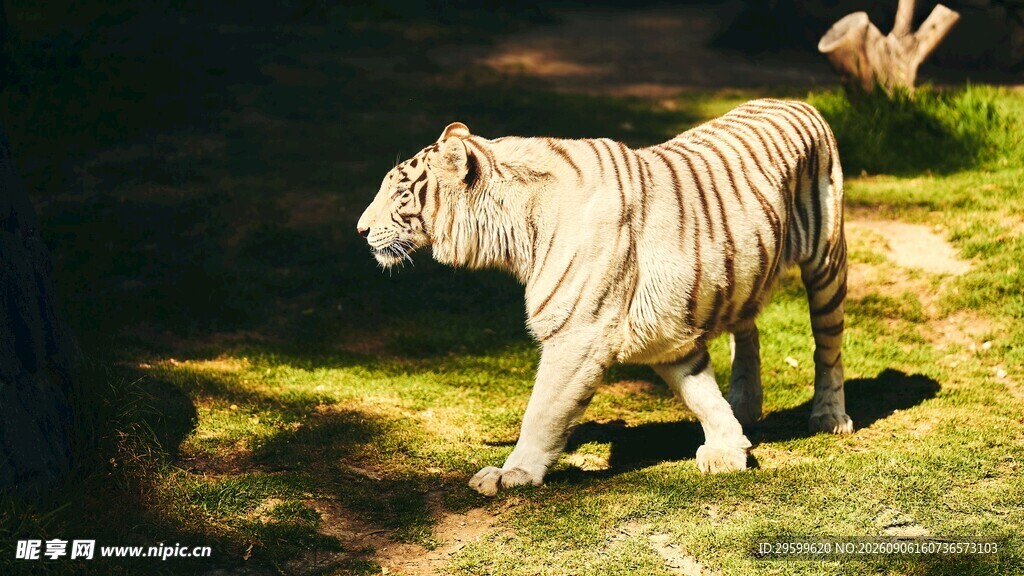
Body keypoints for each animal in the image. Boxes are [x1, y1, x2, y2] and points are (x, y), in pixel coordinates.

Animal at [357, 98, 851, 497]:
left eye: (400, 192)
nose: (360, 230)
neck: (513, 233)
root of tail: (799, 102)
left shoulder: (579, 334)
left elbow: (543, 411)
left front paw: (512, 473)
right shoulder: (665, 333)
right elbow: (700, 390)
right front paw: (729, 445)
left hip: (827, 264)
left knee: (828, 347)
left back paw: (830, 417)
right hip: (740, 275)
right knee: (747, 329)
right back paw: (745, 405)